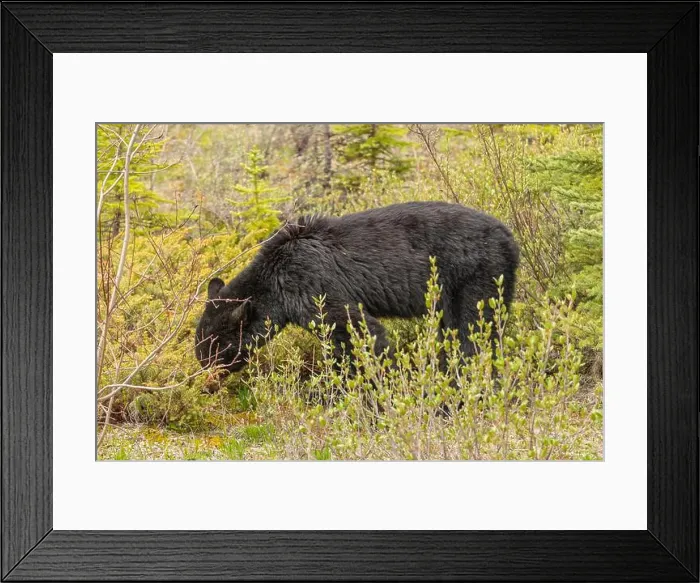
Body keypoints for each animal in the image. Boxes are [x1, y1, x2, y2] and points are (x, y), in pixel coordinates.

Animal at [195, 201, 519, 374]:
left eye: (218, 350)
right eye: (200, 346)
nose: (207, 372)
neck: (273, 280)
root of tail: (510, 237)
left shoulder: (310, 284)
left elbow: (358, 330)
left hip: (474, 275)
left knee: (472, 331)